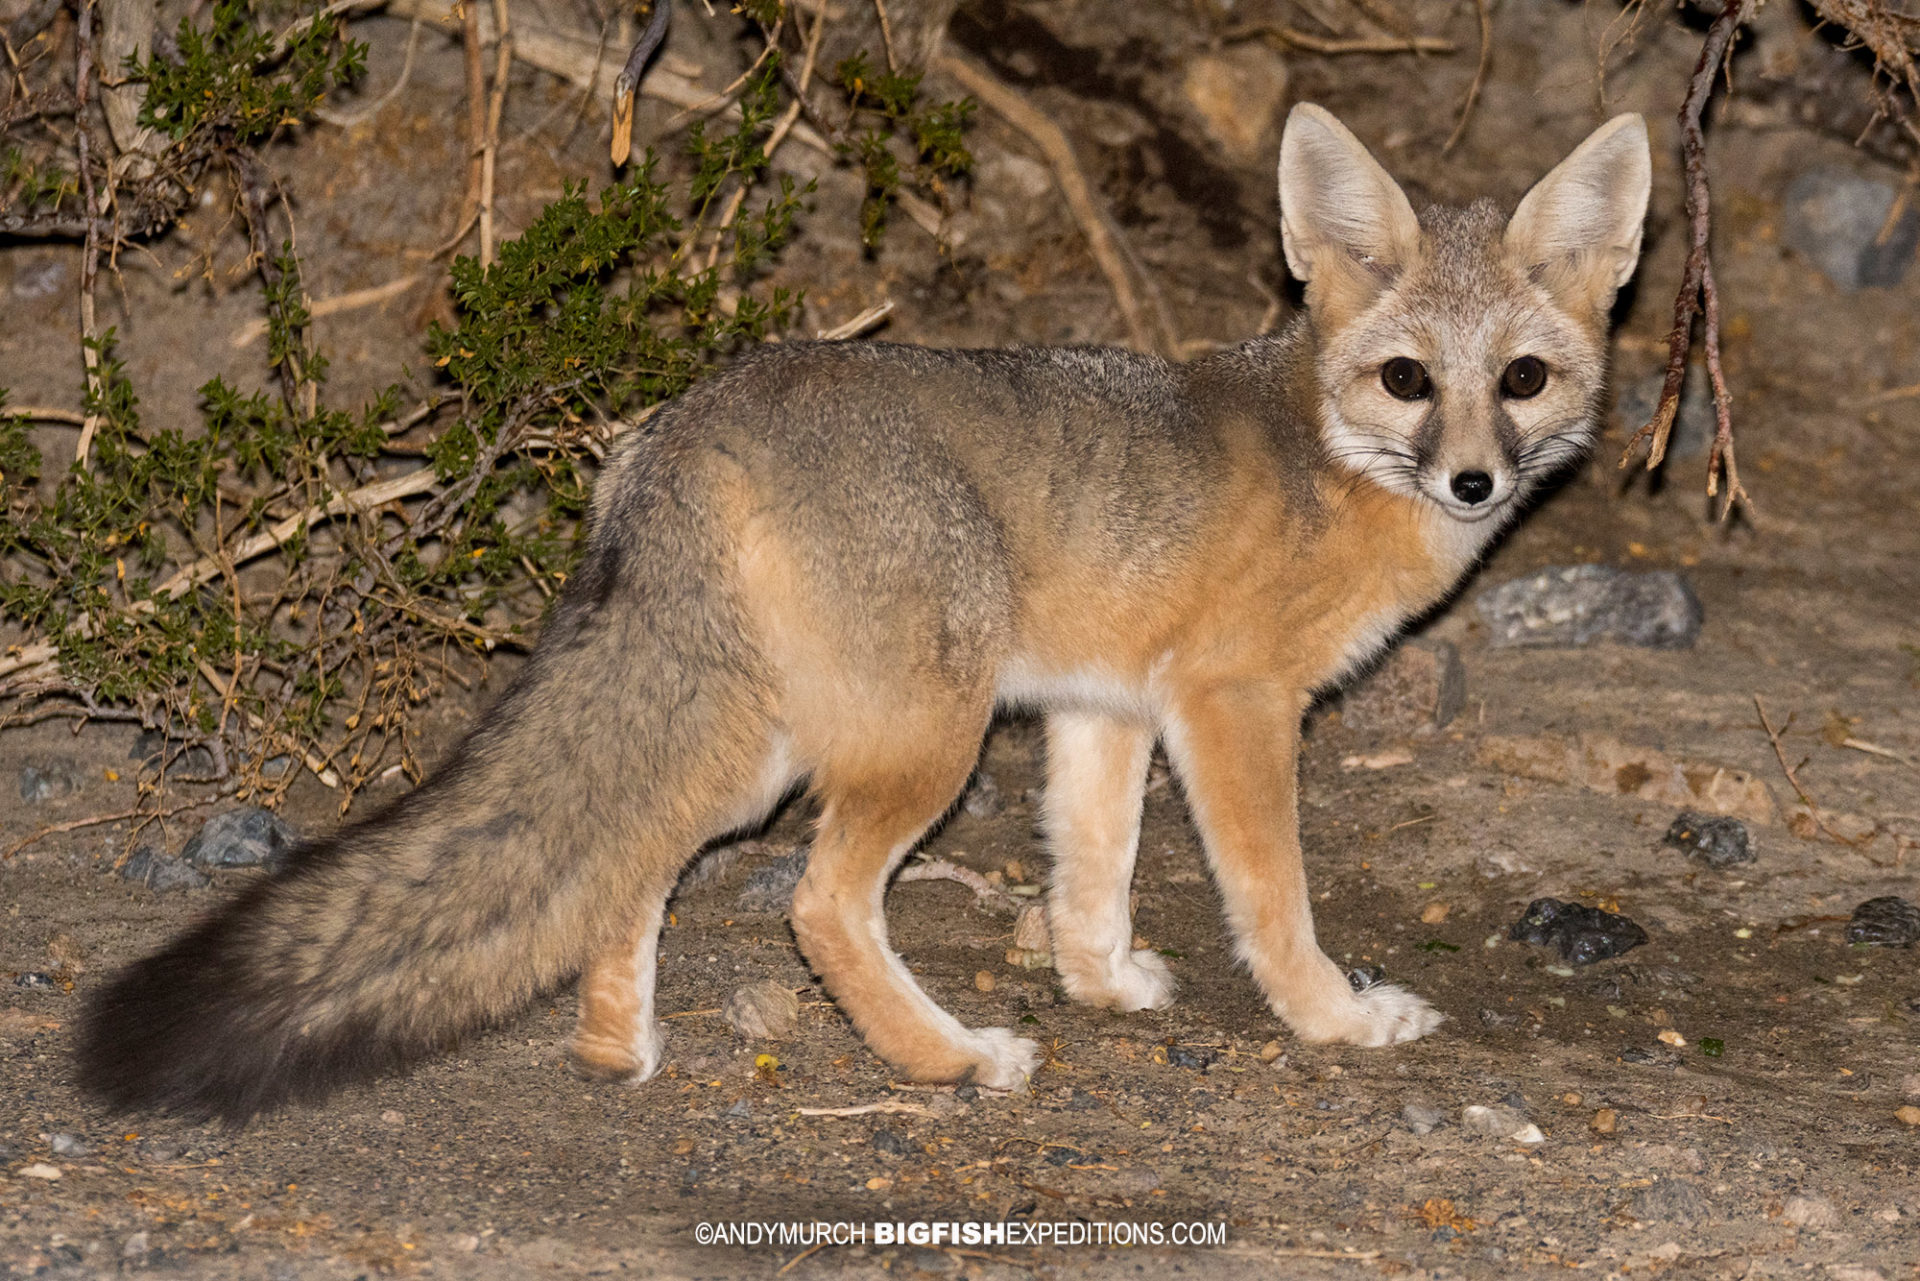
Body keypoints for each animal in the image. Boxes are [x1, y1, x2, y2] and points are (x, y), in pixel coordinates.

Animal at [77, 104, 1651, 1121]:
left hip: (766, 742)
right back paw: (945, 1062)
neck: (1327, 453)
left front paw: (1102, 984)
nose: (1472, 480)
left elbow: (1091, 871)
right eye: (1408, 381)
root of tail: (697, 415)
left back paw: (615, 1048)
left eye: (1520, 380)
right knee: (819, 905)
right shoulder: (1232, 708)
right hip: (917, 743)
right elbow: (1272, 897)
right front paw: (1333, 1017)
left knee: (630, 857)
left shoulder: (1104, 709)